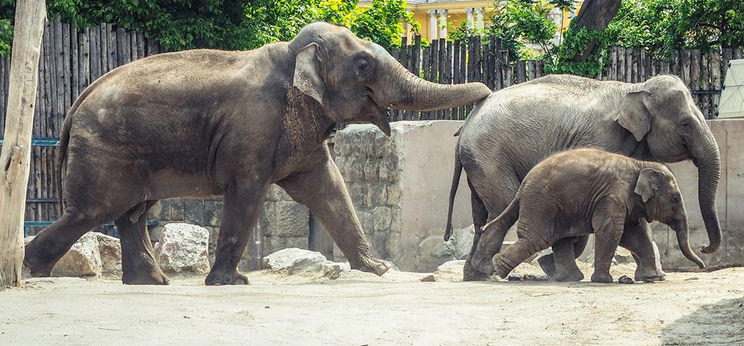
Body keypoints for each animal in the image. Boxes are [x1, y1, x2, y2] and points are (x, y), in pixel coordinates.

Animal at [23, 22, 492, 286]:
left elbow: (330, 187)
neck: (291, 53)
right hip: (105, 148)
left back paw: (150, 284)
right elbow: (248, 191)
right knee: (94, 210)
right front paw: (233, 283)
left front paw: (379, 270)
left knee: (133, 213)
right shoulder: (255, 127)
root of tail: (78, 101)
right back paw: (32, 270)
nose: (488, 92)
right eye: (363, 66)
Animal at [448, 73, 720, 282]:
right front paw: (551, 266)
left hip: (478, 162)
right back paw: (488, 270)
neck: (634, 88)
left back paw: (474, 275)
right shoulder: (601, 135)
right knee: (501, 206)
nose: (704, 250)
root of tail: (466, 125)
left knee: (481, 214)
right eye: (685, 124)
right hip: (489, 154)